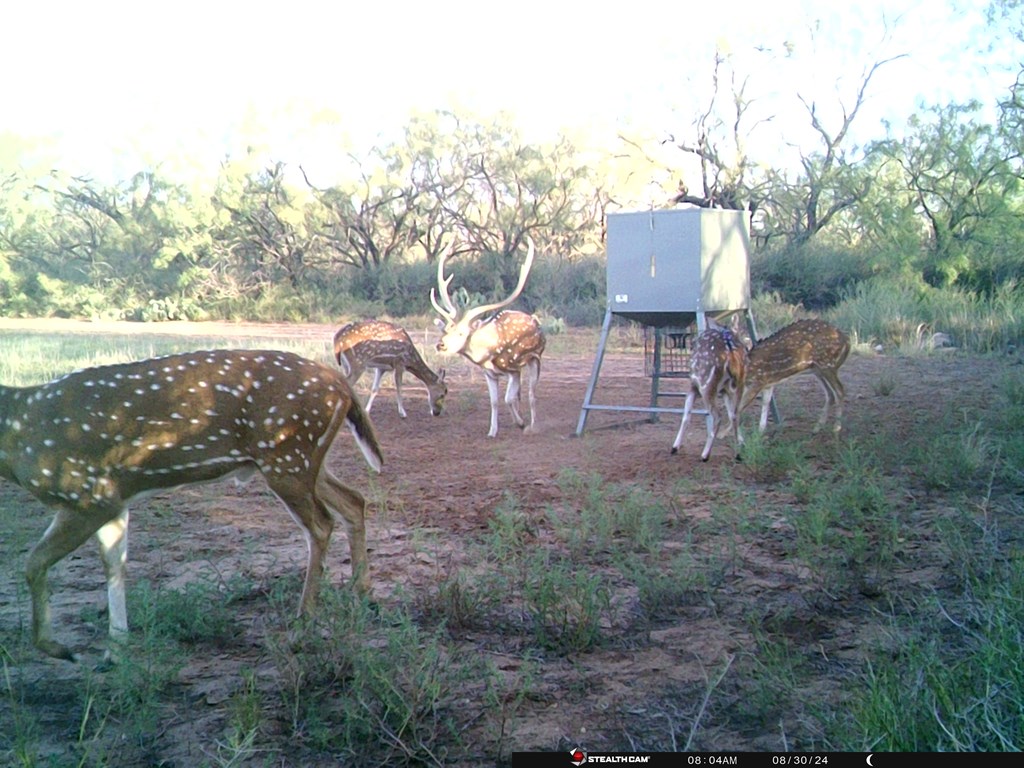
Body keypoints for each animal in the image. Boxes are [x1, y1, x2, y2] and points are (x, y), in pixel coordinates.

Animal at [0, 348, 385, 663]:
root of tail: (340, 384)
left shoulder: (87, 493)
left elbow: (33, 563)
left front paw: (60, 648)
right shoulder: (114, 500)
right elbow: (114, 564)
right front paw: (116, 649)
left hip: (286, 456)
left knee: (321, 524)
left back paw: (302, 626)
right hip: (304, 461)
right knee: (353, 500)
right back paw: (362, 593)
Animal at [430, 237, 548, 438]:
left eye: (461, 333)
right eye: (444, 330)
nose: (441, 345)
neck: (488, 354)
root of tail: (535, 320)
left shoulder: (513, 368)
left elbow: (508, 398)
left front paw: (521, 423)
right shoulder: (489, 374)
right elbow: (494, 401)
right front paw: (492, 431)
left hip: (535, 358)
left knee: (532, 393)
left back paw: (533, 425)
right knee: (521, 394)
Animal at [667, 325, 749, 460]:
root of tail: (731, 353)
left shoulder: (693, 385)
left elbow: (686, 415)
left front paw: (674, 447)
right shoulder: (724, 390)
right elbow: (731, 414)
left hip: (706, 385)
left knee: (718, 416)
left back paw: (705, 455)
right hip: (739, 384)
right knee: (735, 414)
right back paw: (738, 454)